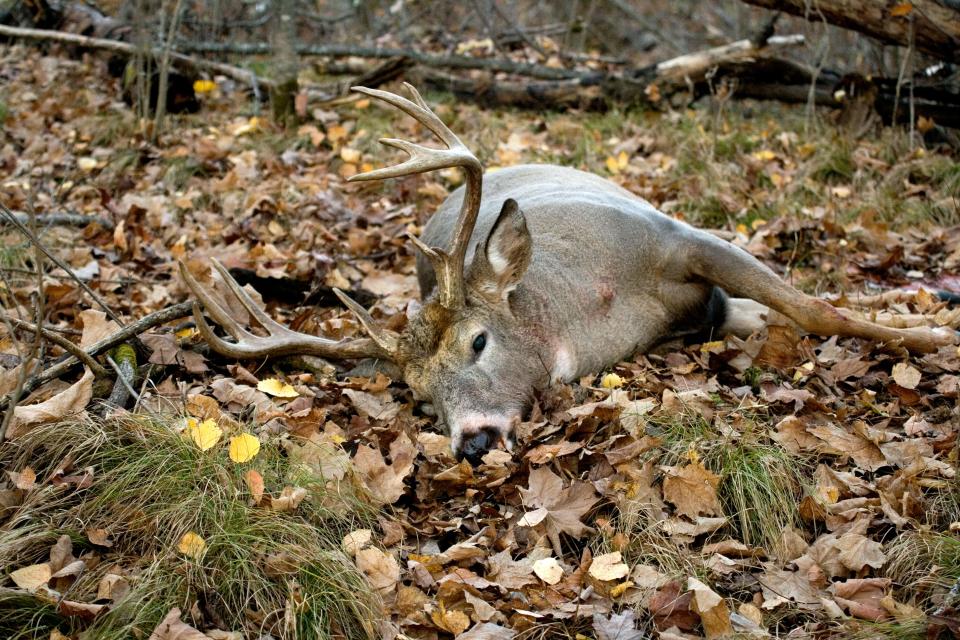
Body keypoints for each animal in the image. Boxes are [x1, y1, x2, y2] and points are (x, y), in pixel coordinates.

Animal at [178, 85, 952, 464]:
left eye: (478, 341)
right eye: (419, 395)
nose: (473, 440)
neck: (595, 309)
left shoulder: (682, 237)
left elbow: (819, 308)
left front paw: (936, 338)